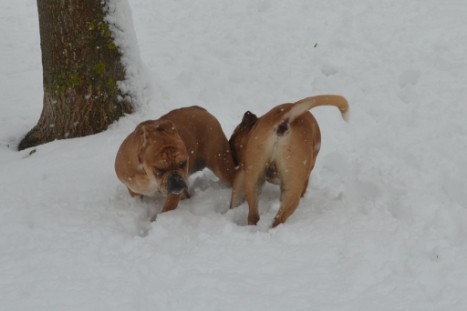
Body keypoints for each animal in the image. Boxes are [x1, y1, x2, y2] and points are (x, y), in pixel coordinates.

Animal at [229, 94, 350, 228]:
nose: (248, 113)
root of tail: (284, 120)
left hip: (254, 180)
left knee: (253, 215)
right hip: (293, 190)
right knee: (278, 218)